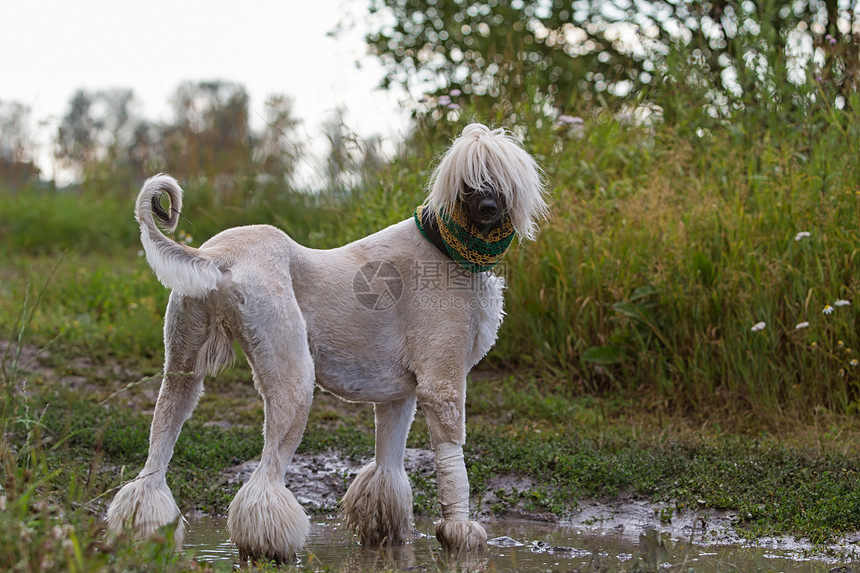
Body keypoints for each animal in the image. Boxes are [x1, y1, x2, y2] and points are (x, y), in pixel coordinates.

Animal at [107, 123, 548, 560]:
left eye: (500, 182)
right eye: (469, 183)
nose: (488, 209)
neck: (446, 249)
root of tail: (218, 258)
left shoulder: (398, 394)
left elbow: (387, 468)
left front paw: (384, 533)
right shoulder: (442, 383)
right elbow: (452, 462)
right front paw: (460, 532)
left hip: (182, 364)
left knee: (156, 454)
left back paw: (143, 532)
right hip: (293, 375)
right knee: (266, 478)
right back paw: (269, 547)